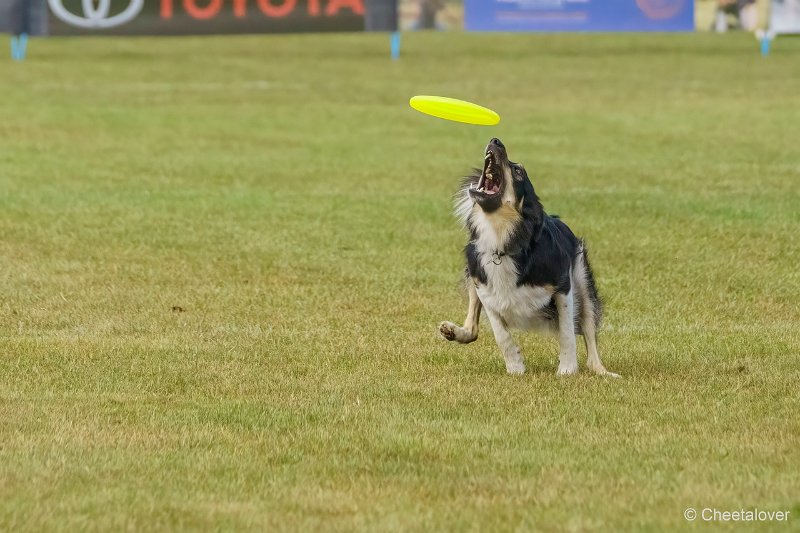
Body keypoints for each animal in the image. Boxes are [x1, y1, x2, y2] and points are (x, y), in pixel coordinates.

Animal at [438, 137, 620, 378]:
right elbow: (501, 335)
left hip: (583, 281)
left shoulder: (563, 285)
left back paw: (604, 372)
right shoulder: (485, 290)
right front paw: (515, 366)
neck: (503, 240)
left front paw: (567, 369)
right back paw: (454, 331)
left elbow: (567, 333)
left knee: (590, 339)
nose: (495, 140)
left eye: (518, 172)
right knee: (472, 329)